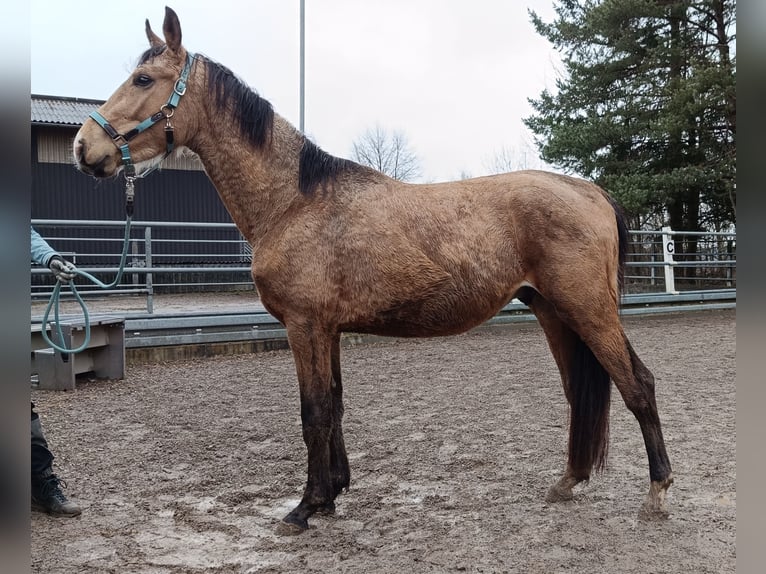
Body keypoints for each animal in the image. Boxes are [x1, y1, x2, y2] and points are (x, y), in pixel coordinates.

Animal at [72, 5, 672, 536]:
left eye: (143, 78)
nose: (84, 147)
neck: (294, 200)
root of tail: (590, 190)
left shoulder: (305, 326)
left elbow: (313, 411)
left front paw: (305, 507)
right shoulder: (328, 330)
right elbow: (335, 407)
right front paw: (333, 493)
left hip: (587, 309)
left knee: (637, 384)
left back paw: (657, 493)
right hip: (554, 311)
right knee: (579, 390)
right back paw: (568, 481)